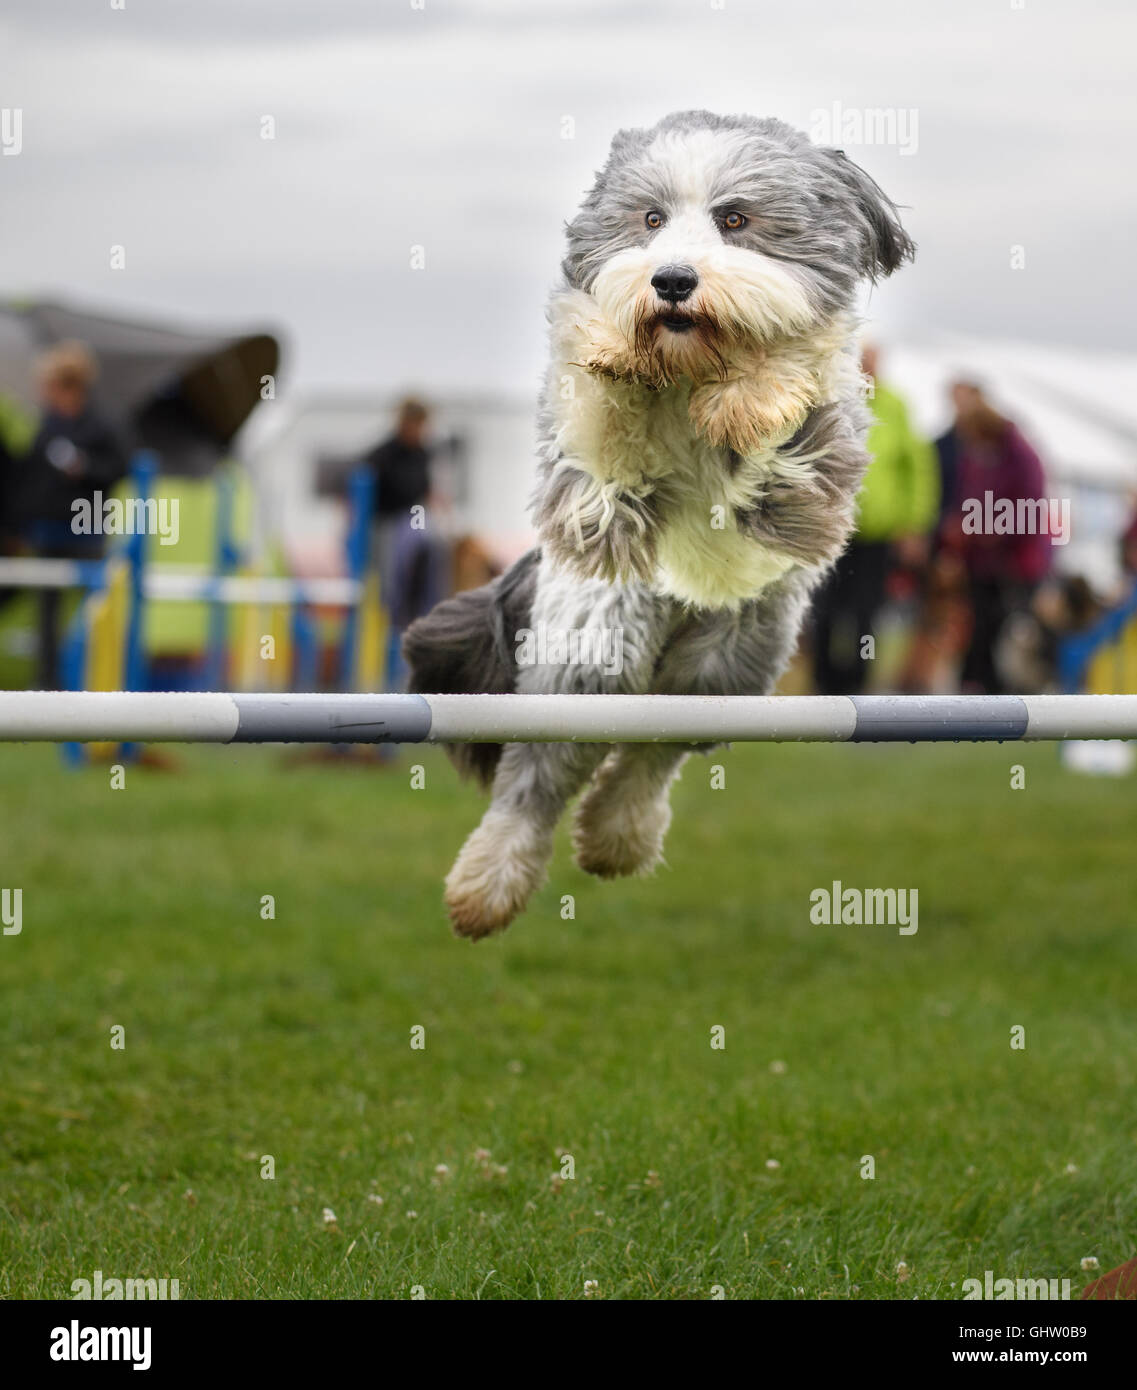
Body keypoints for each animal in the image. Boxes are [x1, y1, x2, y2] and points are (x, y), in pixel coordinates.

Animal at [403, 108, 906, 934]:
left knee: (652, 747)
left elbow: (791, 377)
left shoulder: (814, 467)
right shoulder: (589, 457)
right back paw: (487, 885)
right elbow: (602, 397)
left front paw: (751, 394)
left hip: (728, 662)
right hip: (591, 649)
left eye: (734, 219)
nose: (670, 280)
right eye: (649, 220)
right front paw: (614, 342)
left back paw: (616, 835)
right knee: (539, 771)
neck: (690, 367)